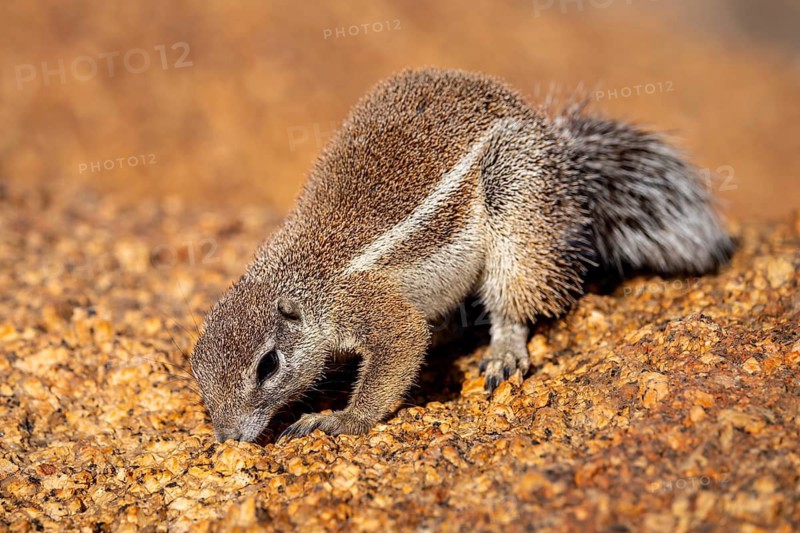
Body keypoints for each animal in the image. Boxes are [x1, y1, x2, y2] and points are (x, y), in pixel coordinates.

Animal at [189, 68, 732, 442]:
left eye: (268, 366)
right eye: (197, 378)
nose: (229, 439)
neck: (299, 278)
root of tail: (559, 146)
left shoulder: (370, 305)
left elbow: (400, 346)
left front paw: (340, 418)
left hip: (517, 207)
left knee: (514, 301)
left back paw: (503, 351)